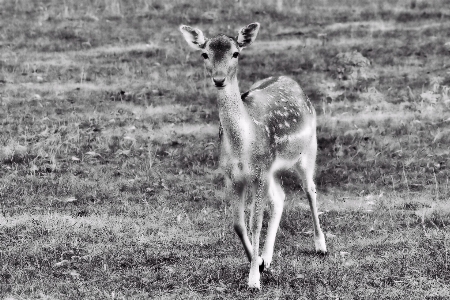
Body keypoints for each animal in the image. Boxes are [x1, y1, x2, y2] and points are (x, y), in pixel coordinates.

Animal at [179, 22, 326, 290]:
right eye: (204, 54)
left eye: (236, 53)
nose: (219, 79)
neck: (242, 147)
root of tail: (291, 80)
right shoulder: (232, 176)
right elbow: (238, 224)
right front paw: (257, 263)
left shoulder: (259, 174)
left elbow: (255, 223)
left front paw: (254, 280)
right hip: (272, 170)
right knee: (280, 197)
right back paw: (267, 257)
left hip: (308, 150)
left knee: (310, 189)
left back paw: (321, 246)